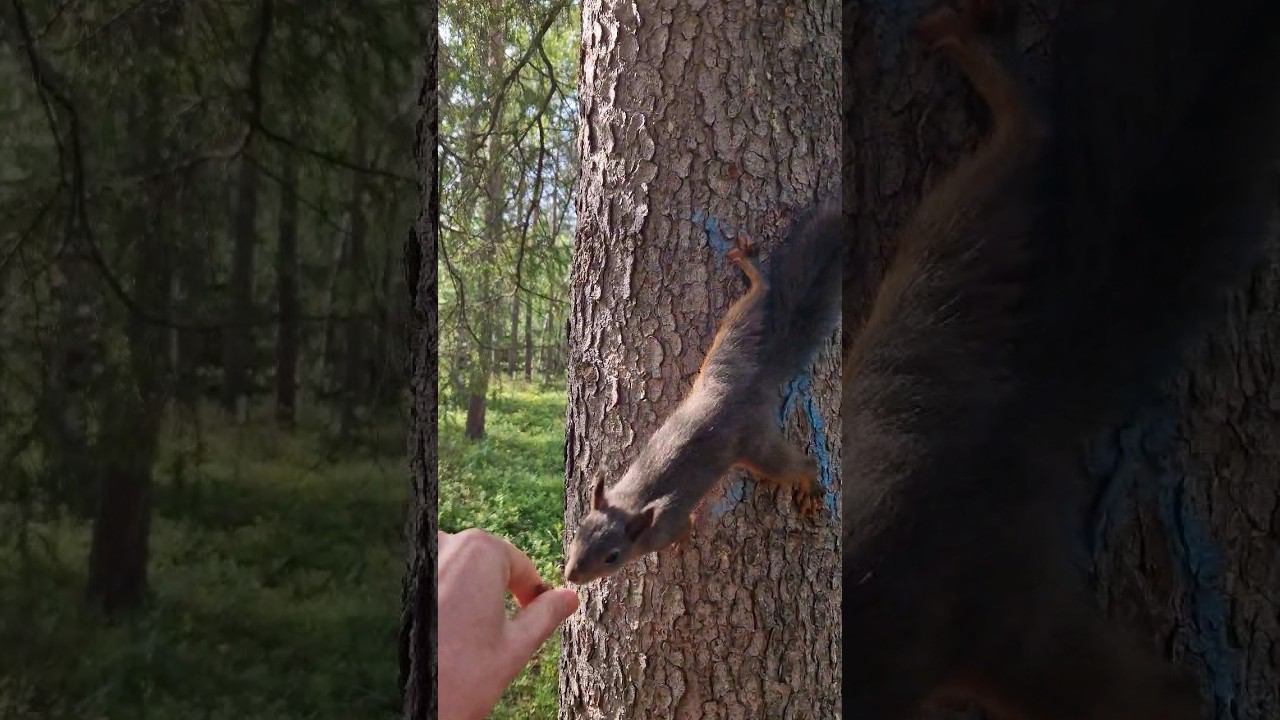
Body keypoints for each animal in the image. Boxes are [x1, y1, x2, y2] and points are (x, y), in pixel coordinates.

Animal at [564, 207, 844, 585]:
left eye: (612, 557)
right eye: (579, 531)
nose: (570, 576)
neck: (631, 503)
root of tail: (752, 383)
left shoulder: (667, 525)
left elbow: (685, 528)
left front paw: (680, 547)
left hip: (756, 445)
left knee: (794, 464)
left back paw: (809, 480)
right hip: (731, 343)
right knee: (759, 297)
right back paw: (753, 271)